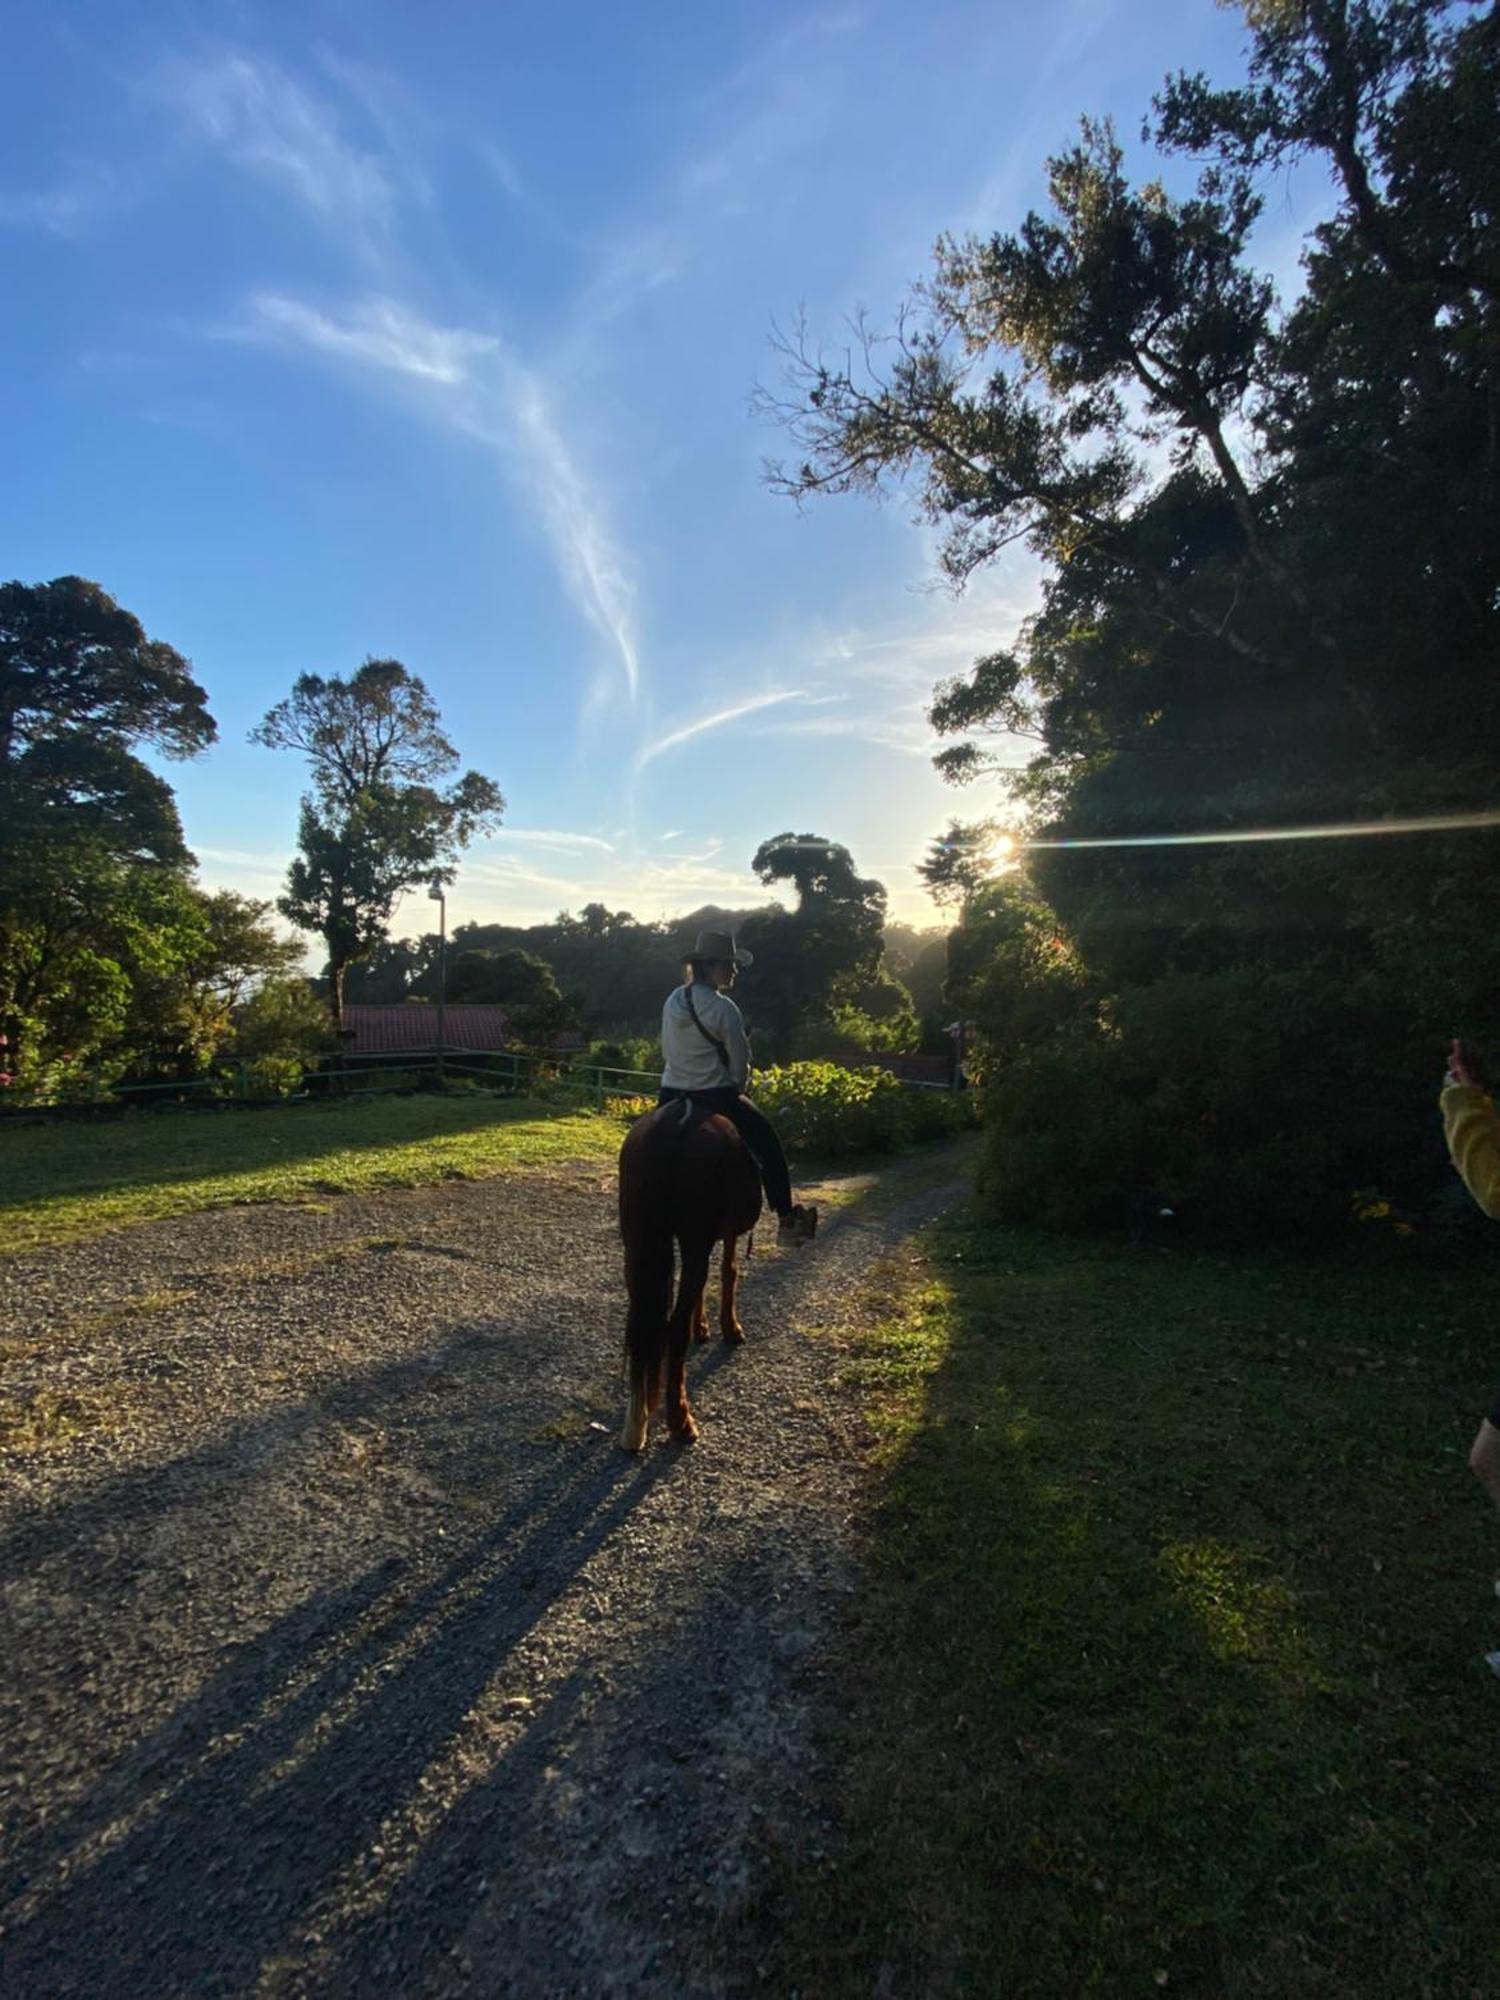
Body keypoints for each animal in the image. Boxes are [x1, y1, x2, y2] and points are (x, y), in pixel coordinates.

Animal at [620, 1096, 764, 1456]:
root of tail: (675, 1126)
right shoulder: (723, 1233)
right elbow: (729, 1271)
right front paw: (730, 1328)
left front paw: (703, 1327)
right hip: (694, 1238)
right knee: (673, 1329)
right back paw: (681, 1422)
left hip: (638, 1245)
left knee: (641, 1326)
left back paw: (636, 1425)